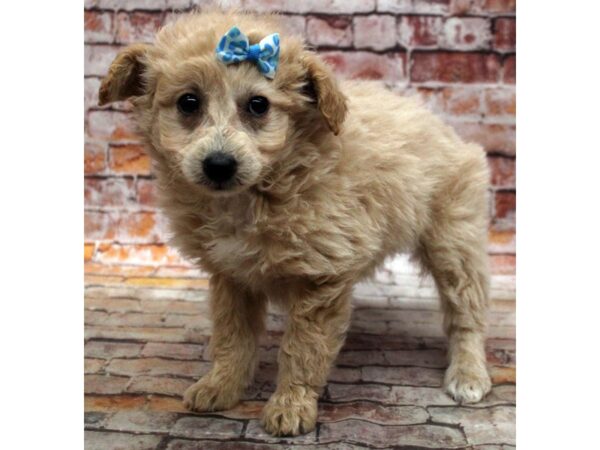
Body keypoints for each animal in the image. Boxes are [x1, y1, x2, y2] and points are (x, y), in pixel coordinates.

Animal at [98, 7, 492, 436]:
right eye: (188, 102)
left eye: (258, 105)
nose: (219, 165)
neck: (259, 194)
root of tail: (441, 125)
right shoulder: (231, 275)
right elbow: (232, 336)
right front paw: (222, 384)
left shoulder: (320, 280)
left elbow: (303, 349)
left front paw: (290, 405)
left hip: (454, 240)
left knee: (467, 313)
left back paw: (468, 374)